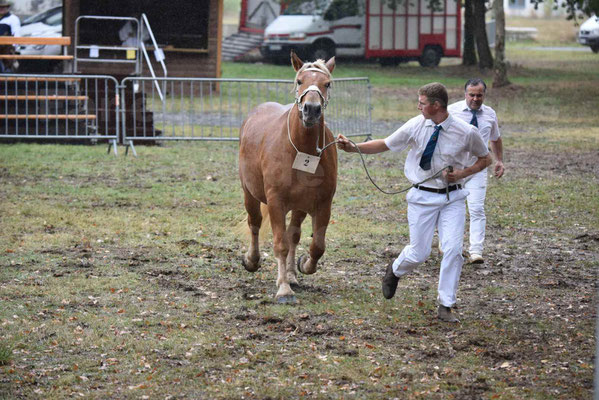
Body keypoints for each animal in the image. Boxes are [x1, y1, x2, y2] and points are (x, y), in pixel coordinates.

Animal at [238, 50, 338, 304]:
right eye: (300, 81)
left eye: (327, 83)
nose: (311, 109)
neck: (302, 149)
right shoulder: (276, 202)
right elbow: (280, 244)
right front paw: (283, 289)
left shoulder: (323, 203)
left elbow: (317, 246)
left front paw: (303, 266)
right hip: (249, 193)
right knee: (254, 222)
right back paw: (252, 260)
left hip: (300, 206)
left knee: (294, 234)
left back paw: (292, 274)